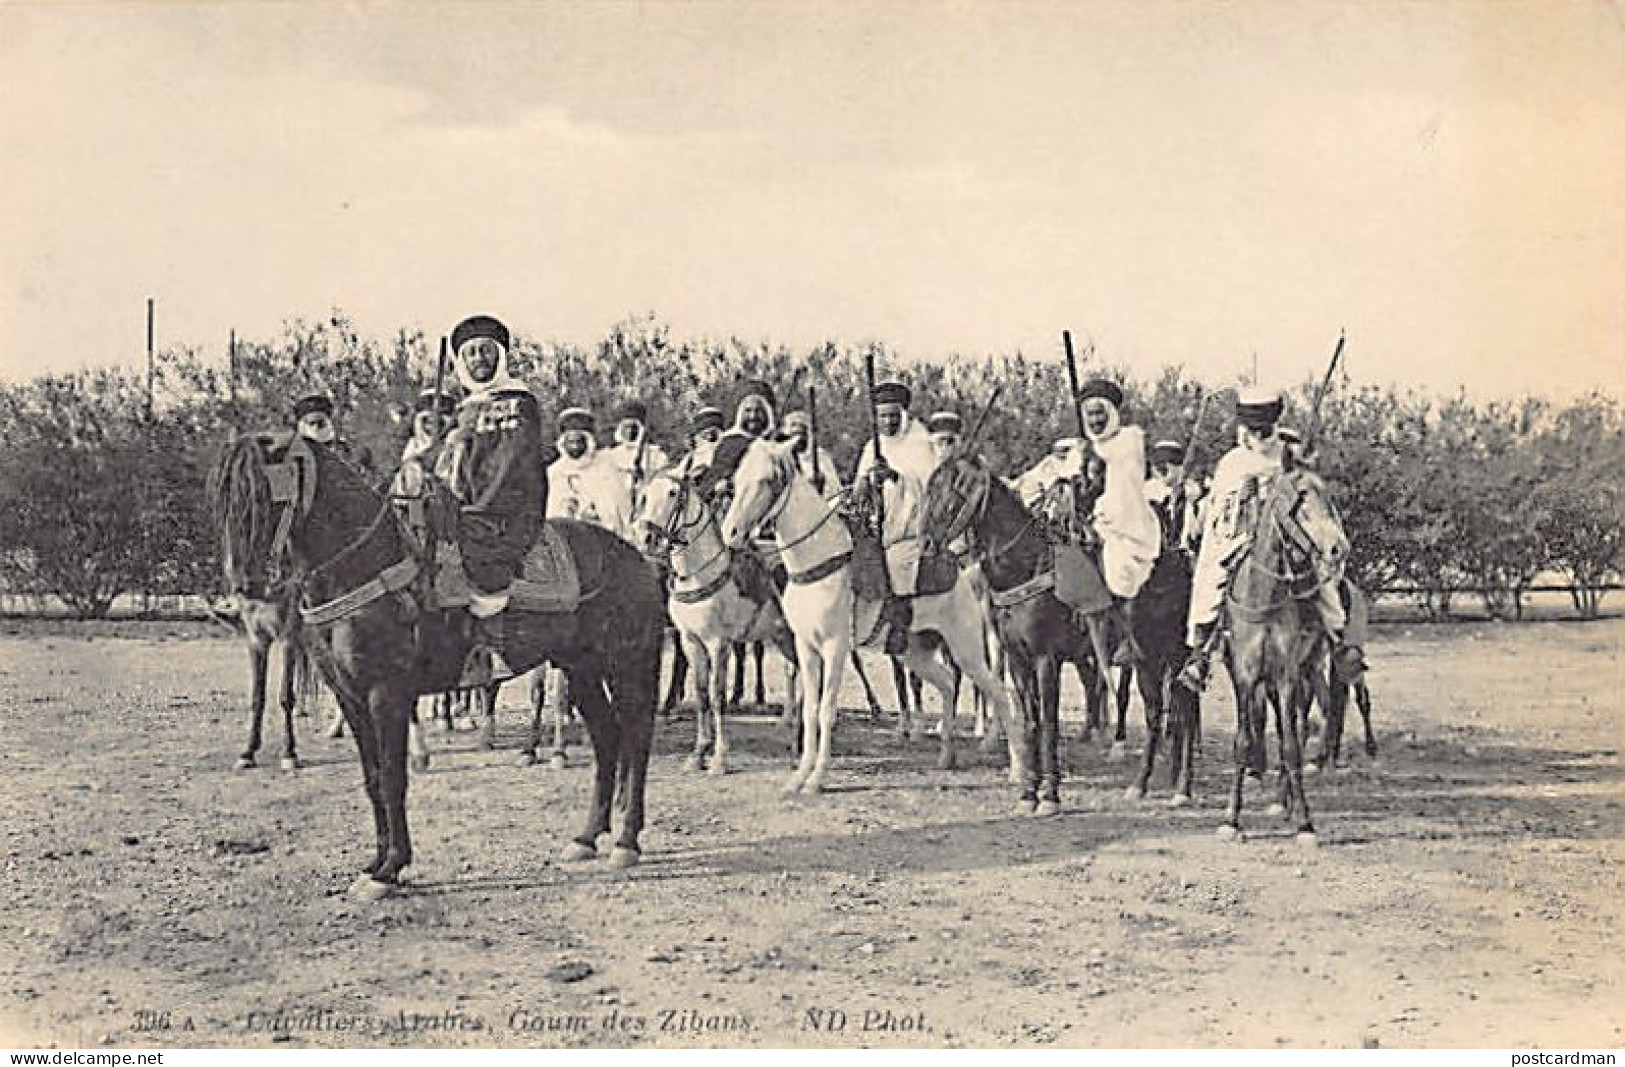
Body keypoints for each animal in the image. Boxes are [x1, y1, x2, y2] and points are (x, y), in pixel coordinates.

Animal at [211, 435, 666, 896]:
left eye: (262, 498)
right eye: (227, 501)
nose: (246, 587)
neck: (366, 566)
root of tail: (636, 556)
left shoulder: (386, 696)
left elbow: (393, 778)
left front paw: (391, 868)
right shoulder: (350, 697)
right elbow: (372, 778)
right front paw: (375, 864)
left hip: (627, 666)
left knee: (636, 740)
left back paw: (626, 842)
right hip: (581, 669)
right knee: (607, 739)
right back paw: (587, 838)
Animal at [633, 467, 799, 773]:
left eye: (673, 493)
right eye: (645, 495)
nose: (648, 538)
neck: (700, 574)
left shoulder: (718, 643)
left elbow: (718, 695)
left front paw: (720, 757)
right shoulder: (691, 641)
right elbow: (701, 695)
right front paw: (698, 753)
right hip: (782, 636)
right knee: (795, 674)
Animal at [721, 438, 1020, 795]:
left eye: (768, 480)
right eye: (737, 478)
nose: (731, 533)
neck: (817, 559)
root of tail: (961, 572)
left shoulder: (835, 648)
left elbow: (826, 711)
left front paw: (817, 780)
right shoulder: (806, 647)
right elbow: (809, 710)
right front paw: (798, 777)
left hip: (967, 649)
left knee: (998, 692)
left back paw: (1017, 767)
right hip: (913, 651)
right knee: (948, 683)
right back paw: (946, 756)